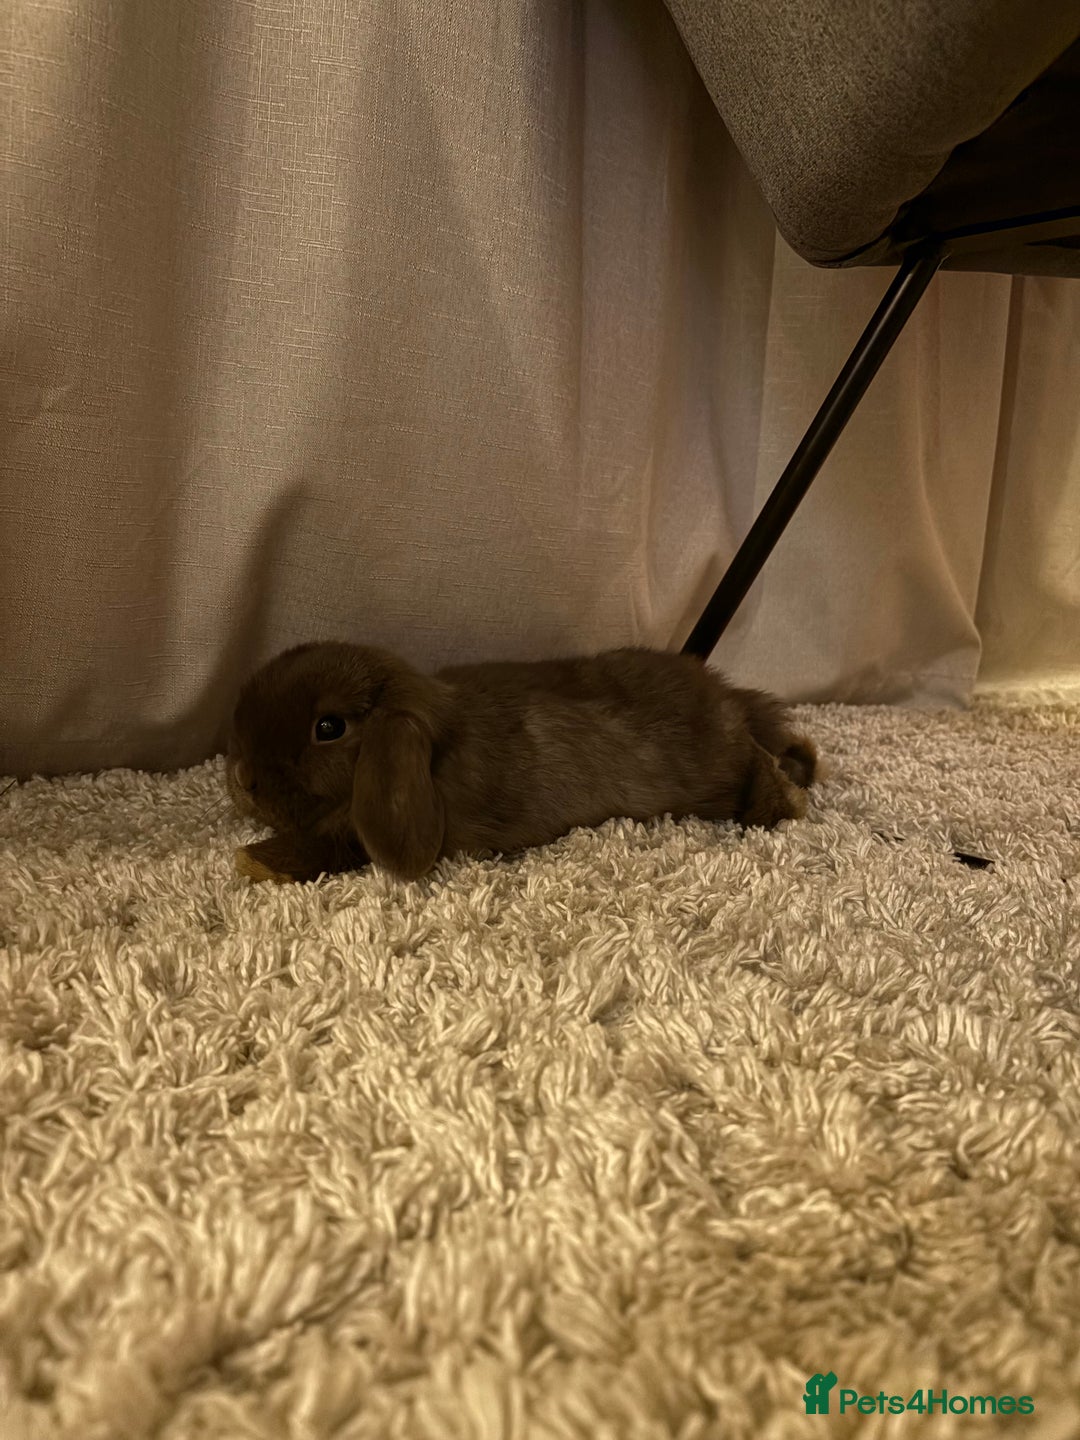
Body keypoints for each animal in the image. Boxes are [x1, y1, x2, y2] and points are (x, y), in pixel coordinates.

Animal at [225, 641, 820, 884]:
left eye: (328, 728)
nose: (243, 780)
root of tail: (729, 699)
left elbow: (325, 848)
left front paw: (253, 861)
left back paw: (786, 797)